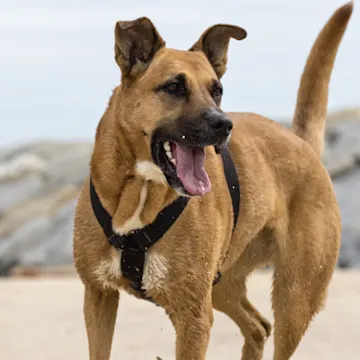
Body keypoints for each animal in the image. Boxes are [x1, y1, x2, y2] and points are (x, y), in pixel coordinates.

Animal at [73, 3, 354, 360]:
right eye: (174, 87)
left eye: (217, 91)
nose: (224, 125)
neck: (140, 191)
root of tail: (300, 142)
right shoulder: (98, 295)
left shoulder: (193, 317)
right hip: (221, 283)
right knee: (258, 326)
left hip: (295, 296)